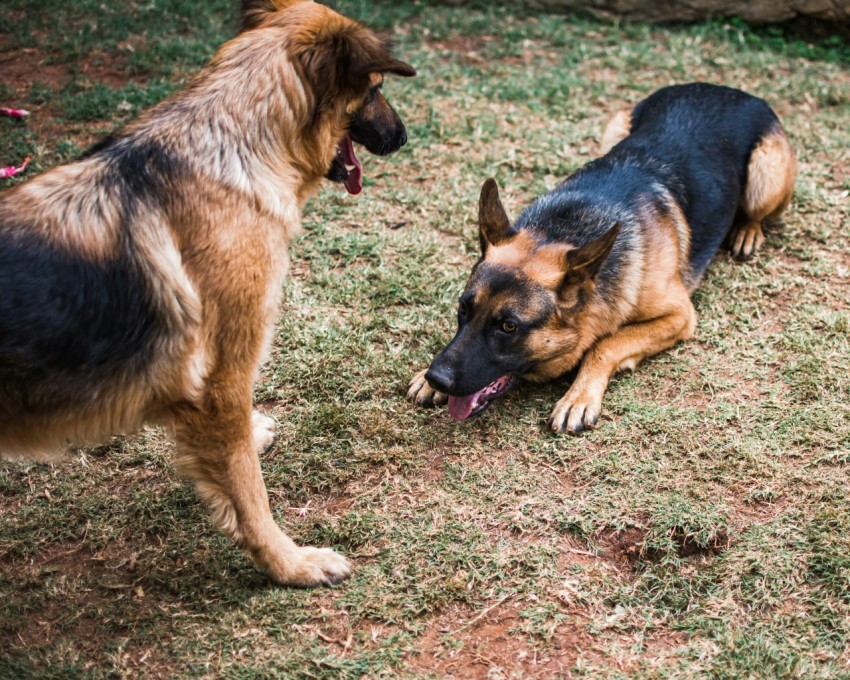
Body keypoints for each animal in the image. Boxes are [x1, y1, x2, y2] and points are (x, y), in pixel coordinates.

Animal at [0, 0, 416, 584]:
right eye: (376, 88)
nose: (403, 137)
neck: (236, 142)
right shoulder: (222, 380)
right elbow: (248, 491)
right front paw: (289, 564)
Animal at [410, 83, 796, 436]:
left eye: (508, 327)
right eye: (464, 309)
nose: (437, 377)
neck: (564, 228)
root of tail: (725, 88)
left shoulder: (680, 316)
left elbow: (606, 344)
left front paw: (578, 397)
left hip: (766, 174)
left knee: (758, 212)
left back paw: (747, 231)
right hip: (614, 127)